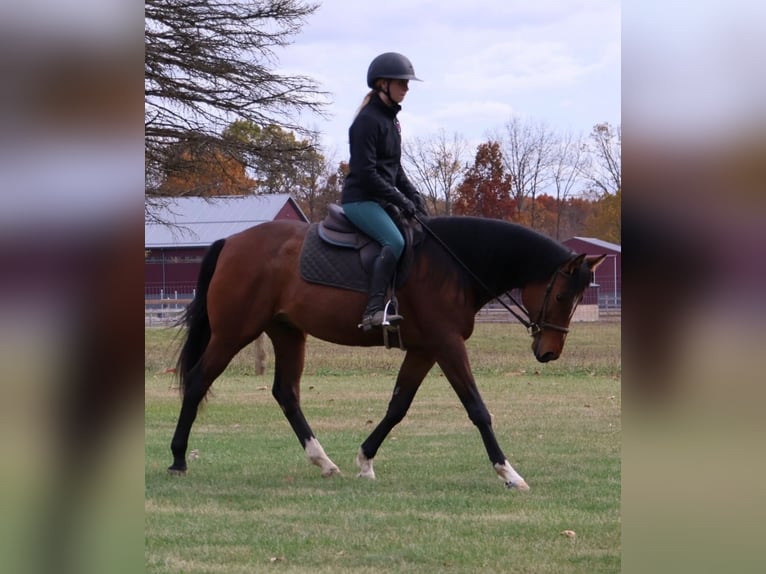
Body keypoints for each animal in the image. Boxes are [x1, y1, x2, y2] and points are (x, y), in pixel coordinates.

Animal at [168, 214, 605, 490]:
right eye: (562, 296)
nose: (549, 352)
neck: (454, 265)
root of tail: (231, 242)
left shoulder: (425, 349)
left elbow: (398, 406)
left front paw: (365, 460)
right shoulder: (447, 345)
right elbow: (477, 409)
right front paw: (509, 473)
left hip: (288, 333)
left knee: (286, 394)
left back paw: (324, 462)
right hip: (233, 333)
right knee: (198, 380)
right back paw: (178, 459)